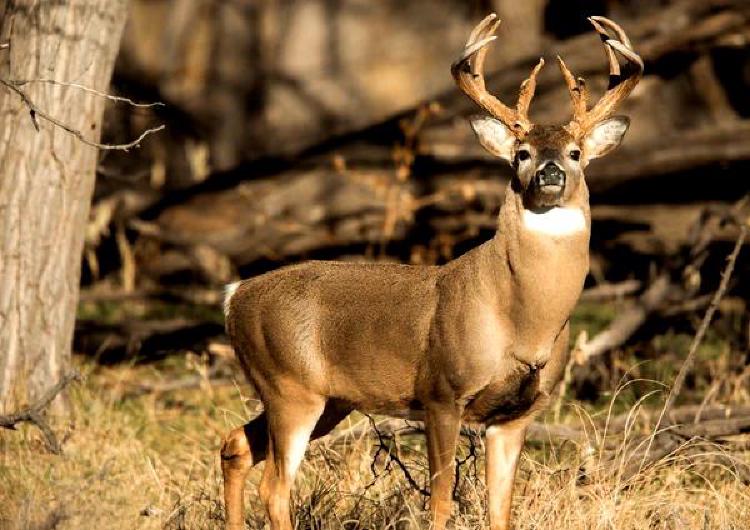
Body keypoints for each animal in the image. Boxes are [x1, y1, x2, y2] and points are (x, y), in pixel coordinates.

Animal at [220, 14, 644, 528]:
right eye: (521, 152)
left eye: (575, 152)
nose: (550, 171)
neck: (522, 322)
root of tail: (233, 296)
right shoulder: (441, 391)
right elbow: (440, 501)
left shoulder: (517, 413)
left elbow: (500, 509)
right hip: (289, 386)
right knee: (275, 486)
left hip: (326, 400)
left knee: (234, 446)